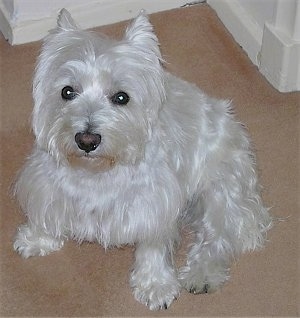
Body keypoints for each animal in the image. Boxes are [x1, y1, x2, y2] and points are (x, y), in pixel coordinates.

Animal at [13, 9, 272, 310]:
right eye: (67, 91)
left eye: (121, 97)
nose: (87, 140)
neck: (97, 172)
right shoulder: (46, 185)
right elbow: (45, 212)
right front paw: (36, 239)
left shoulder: (156, 205)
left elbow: (153, 246)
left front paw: (155, 285)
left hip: (220, 189)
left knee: (218, 236)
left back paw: (201, 275)